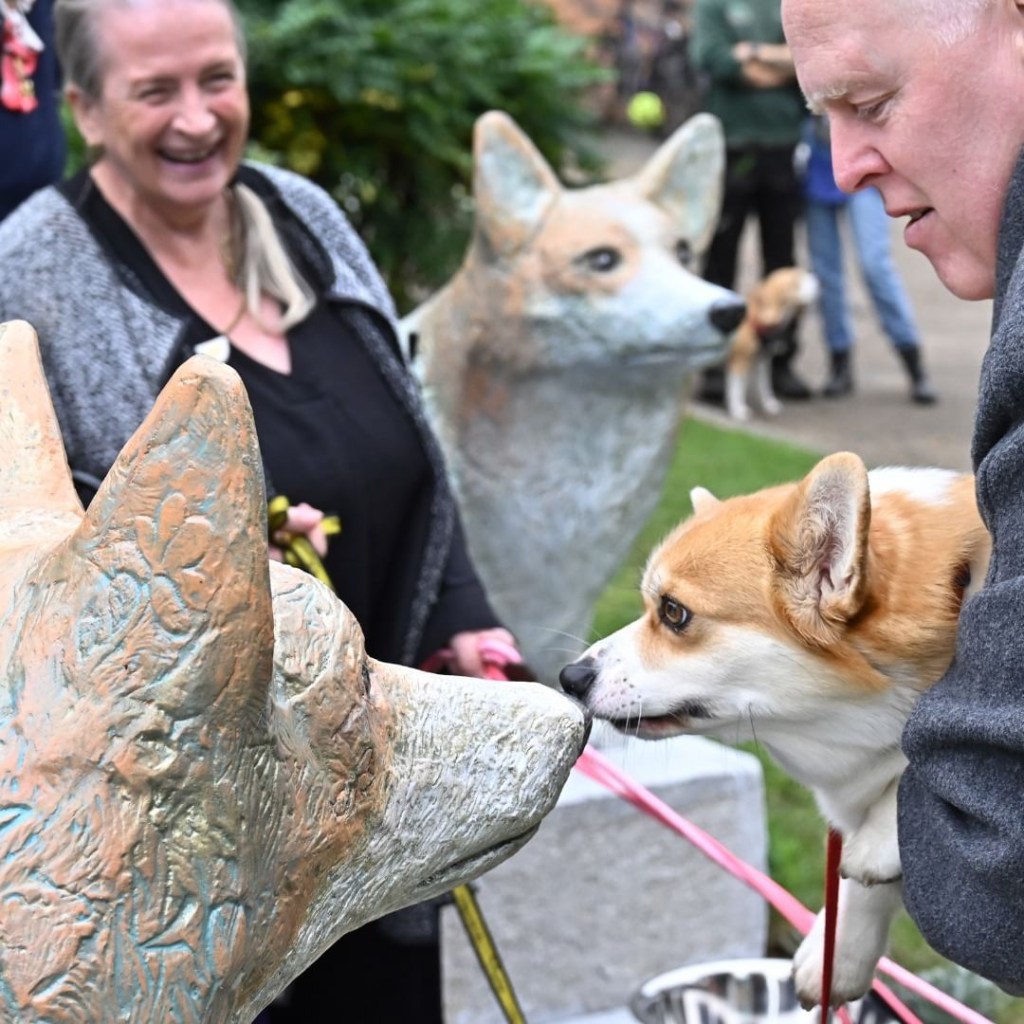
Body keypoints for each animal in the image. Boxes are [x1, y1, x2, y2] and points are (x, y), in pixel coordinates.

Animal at [724, 268, 819, 423]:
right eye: (797, 281)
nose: (816, 277)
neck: (756, 321)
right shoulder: (739, 362)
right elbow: (736, 389)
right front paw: (738, 411)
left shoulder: (761, 361)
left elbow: (764, 385)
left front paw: (769, 404)